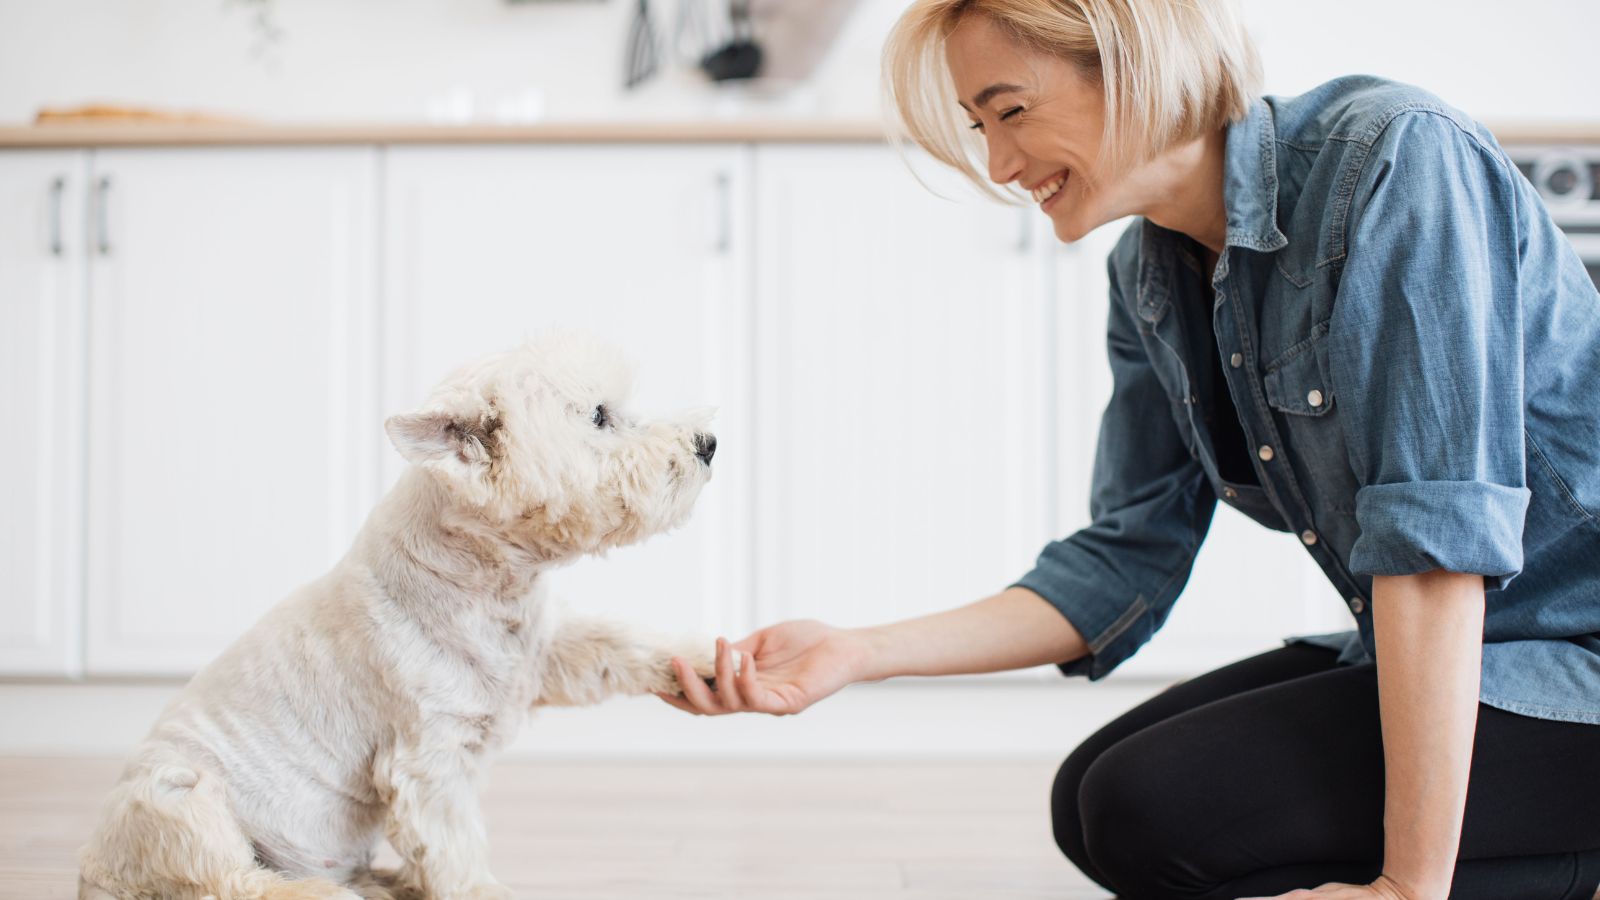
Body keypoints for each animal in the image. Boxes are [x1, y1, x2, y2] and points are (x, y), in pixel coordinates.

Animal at [81, 334, 720, 896]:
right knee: (231, 880)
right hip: (177, 797)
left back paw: (385, 884)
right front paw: (481, 891)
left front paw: (706, 661)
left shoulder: (546, 653)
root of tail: (95, 871)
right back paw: (325, 894)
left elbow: (614, 644)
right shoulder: (429, 756)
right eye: (599, 416)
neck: (491, 582)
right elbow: (452, 842)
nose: (708, 443)